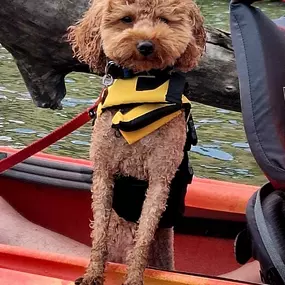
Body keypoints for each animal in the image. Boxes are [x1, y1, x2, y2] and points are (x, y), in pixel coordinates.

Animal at [67, 1, 204, 282]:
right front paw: (93, 274)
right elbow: (99, 232)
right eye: (126, 19)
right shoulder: (104, 171)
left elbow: (142, 238)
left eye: (163, 19)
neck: (141, 88)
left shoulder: (160, 178)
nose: (146, 45)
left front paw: (133, 278)